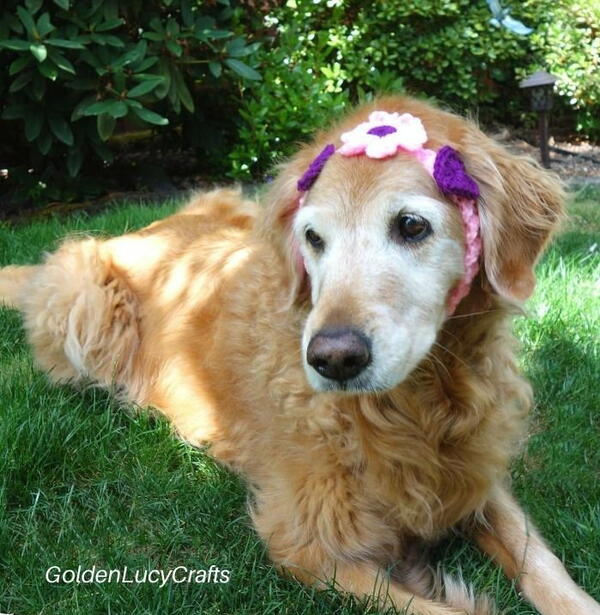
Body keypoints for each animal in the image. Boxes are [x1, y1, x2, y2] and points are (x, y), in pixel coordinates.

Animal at [1, 97, 600, 615]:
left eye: (411, 225)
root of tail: (136, 231)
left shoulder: (473, 477)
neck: (419, 405)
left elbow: (541, 561)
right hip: (85, 302)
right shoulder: (306, 546)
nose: (333, 359)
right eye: (313, 238)